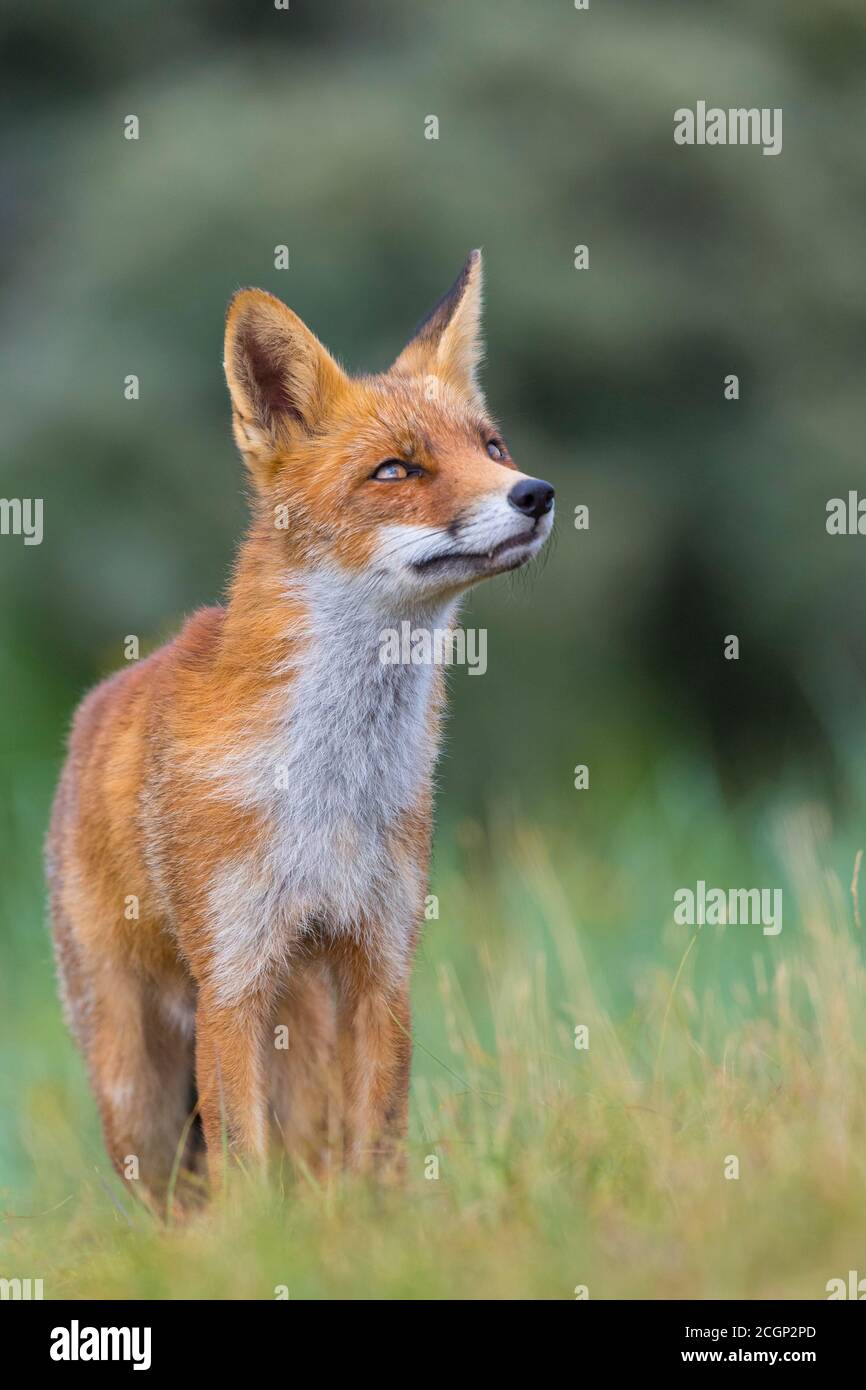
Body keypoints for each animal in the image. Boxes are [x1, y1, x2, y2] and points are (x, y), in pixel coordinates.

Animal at [45, 252, 556, 1206]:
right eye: (395, 471)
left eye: (491, 448)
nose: (535, 495)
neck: (331, 782)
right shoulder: (234, 979)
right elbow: (246, 1171)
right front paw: (262, 1239)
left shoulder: (380, 962)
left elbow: (377, 1151)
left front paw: (376, 1232)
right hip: (137, 1086)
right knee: (174, 1203)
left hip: (305, 1032)